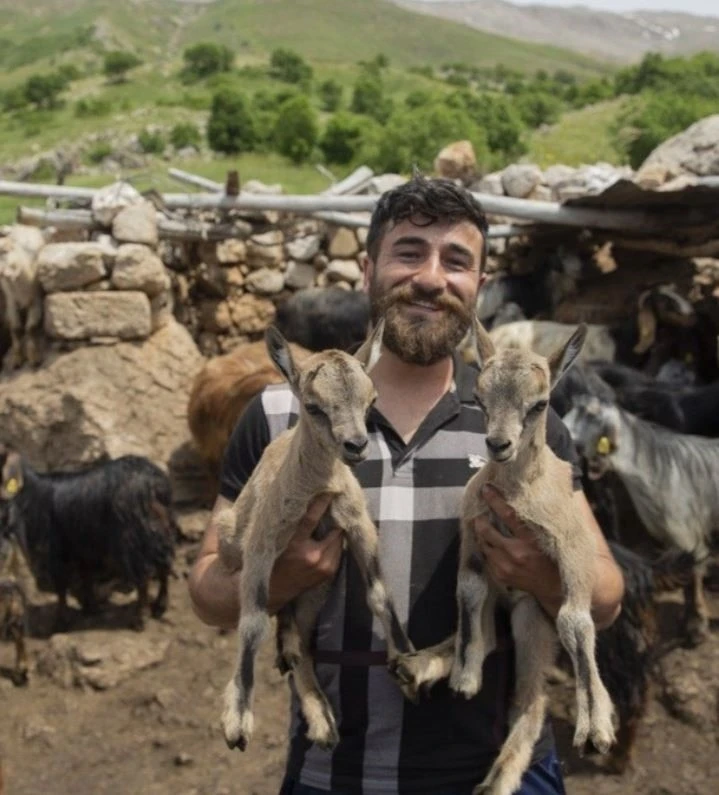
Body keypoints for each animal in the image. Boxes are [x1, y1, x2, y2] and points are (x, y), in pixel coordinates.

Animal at [0, 450, 179, 632]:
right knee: (164, 567)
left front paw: (61, 623)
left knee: (144, 577)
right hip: (160, 532)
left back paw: (139, 619)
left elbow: (62, 587)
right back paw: (159, 607)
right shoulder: (82, 547)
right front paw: (90, 608)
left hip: (133, 538)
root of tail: (154, 483)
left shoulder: (55, 551)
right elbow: (86, 575)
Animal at [394, 322, 612, 795]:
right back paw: (418, 666)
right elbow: (468, 592)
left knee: (532, 699)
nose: (498, 444)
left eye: (540, 403)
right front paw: (464, 679)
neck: (519, 492)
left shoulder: (573, 553)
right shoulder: (474, 540)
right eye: (479, 397)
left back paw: (498, 779)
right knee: (493, 639)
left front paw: (594, 730)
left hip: (532, 616)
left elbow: (576, 621)